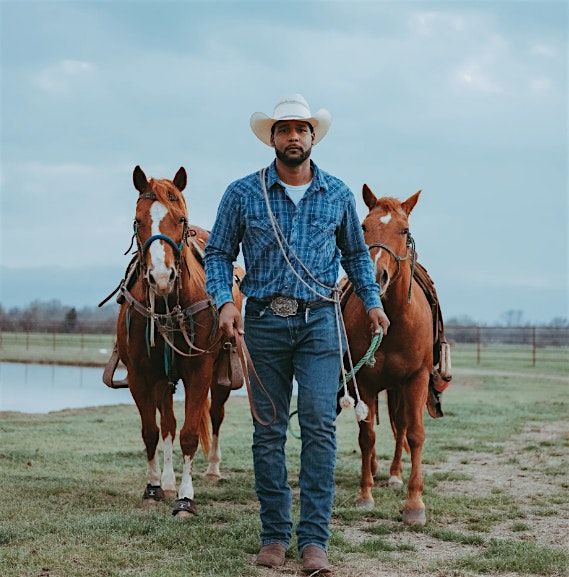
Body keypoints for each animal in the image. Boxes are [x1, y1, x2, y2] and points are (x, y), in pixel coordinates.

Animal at [115, 166, 242, 516]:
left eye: (181, 219)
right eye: (138, 220)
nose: (161, 277)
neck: (167, 305)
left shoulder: (199, 373)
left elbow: (189, 435)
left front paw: (186, 498)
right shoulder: (141, 376)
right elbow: (152, 432)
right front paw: (154, 487)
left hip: (221, 374)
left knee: (215, 416)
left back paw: (212, 469)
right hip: (164, 379)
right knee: (168, 423)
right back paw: (169, 480)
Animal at [342, 186, 430, 528]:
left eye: (404, 230)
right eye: (363, 227)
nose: (376, 276)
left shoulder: (416, 379)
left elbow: (415, 434)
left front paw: (414, 504)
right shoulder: (364, 382)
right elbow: (366, 436)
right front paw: (365, 495)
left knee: (402, 427)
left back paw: (394, 475)